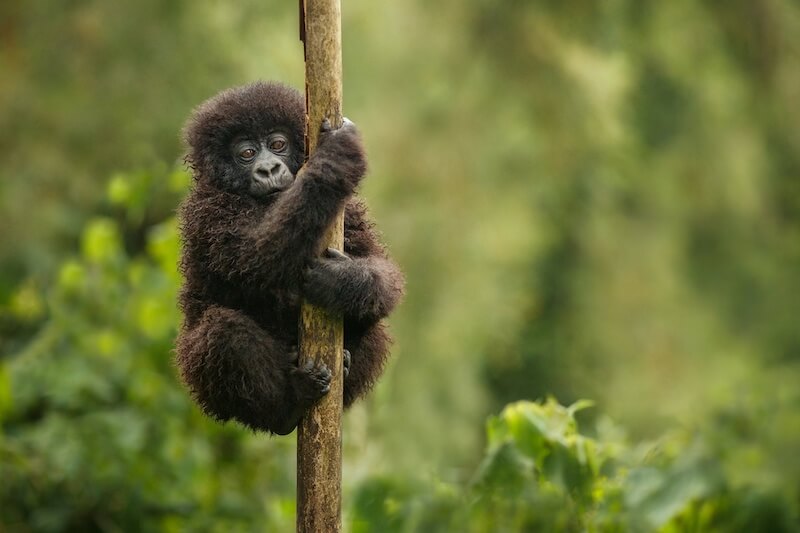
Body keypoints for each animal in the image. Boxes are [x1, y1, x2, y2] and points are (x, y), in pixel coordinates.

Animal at [173, 82, 404, 432]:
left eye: (278, 144)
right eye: (246, 153)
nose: (268, 168)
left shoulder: (349, 211)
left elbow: (382, 270)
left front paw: (342, 282)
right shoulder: (208, 212)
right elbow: (257, 257)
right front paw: (335, 158)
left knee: (375, 324)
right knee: (223, 332)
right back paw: (288, 406)